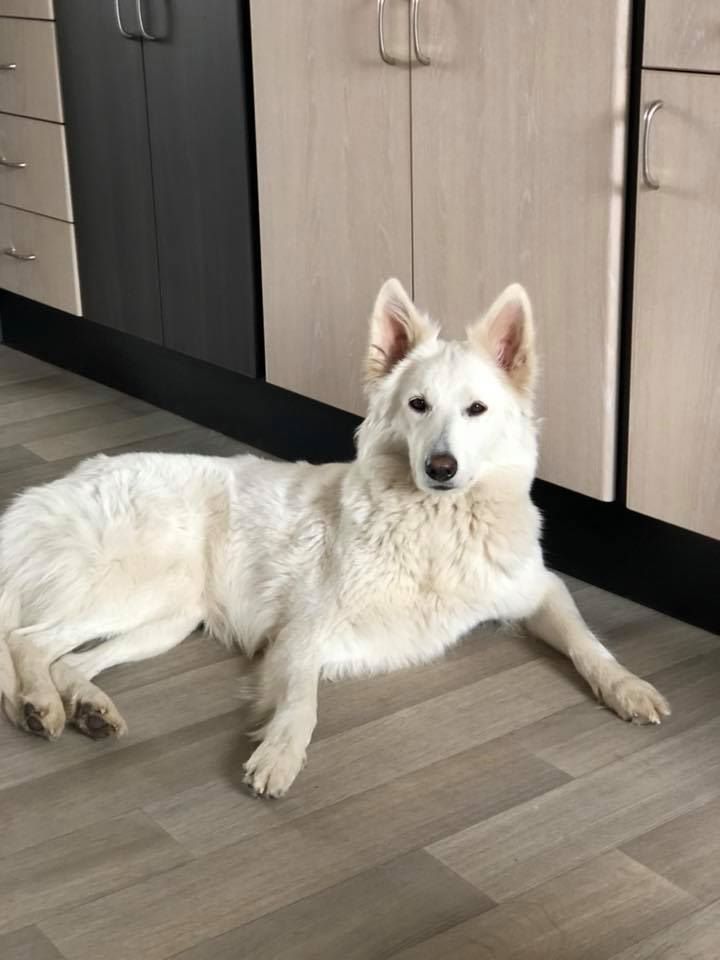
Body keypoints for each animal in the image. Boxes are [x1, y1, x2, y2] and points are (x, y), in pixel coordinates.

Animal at [0, 279, 669, 796]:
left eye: (476, 409)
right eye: (418, 405)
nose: (441, 468)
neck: (434, 527)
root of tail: (61, 485)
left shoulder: (539, 589)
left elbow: (590, 643)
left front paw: (629, 688)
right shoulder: (303, 631)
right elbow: (303, 700)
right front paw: (279, 755)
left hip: (168, 616)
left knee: (67, 659)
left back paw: (88, 707)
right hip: (144, 589)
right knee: (28, 640)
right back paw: (41, 706)